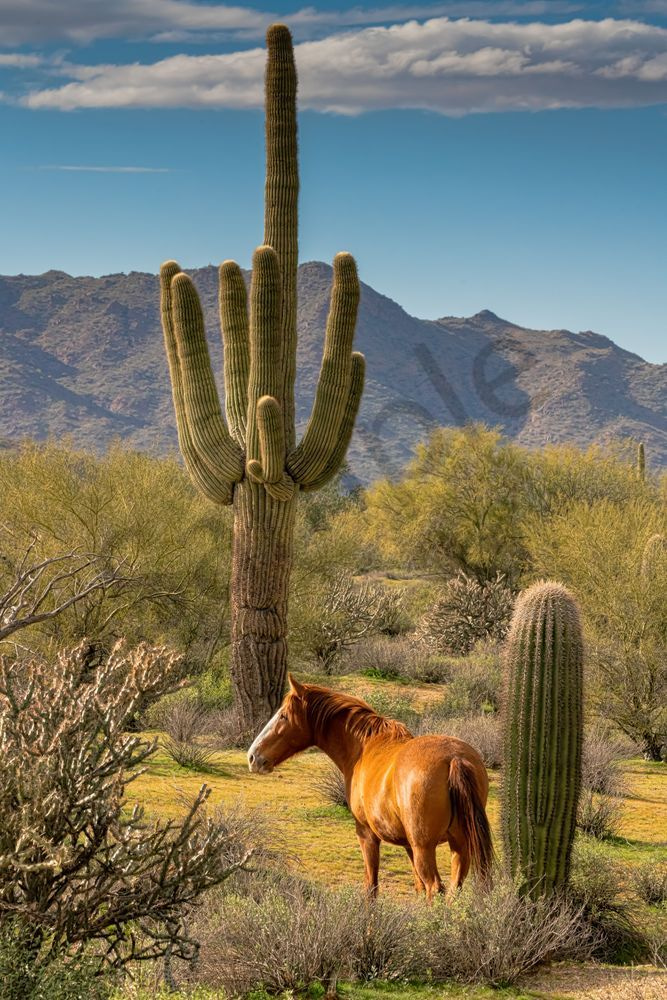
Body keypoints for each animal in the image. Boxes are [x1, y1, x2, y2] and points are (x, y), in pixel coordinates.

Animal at [247, 675, 494, 899]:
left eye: (283, 716)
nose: (253, 757)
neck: (364, 747)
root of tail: (454, 758)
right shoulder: (408, 845)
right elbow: (417, 888)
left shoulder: (367, 835)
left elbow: (371, 888)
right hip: (458, 846)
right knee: (452, 891)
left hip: (425, 848)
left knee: (435, 888)